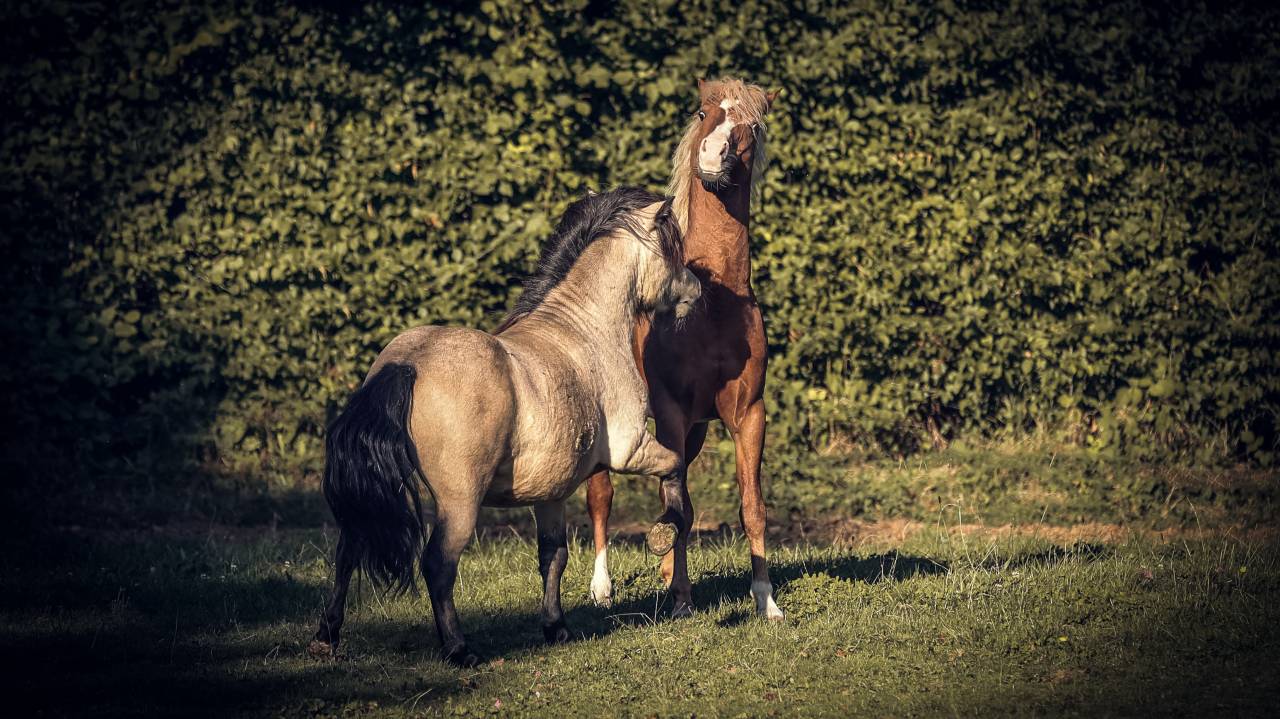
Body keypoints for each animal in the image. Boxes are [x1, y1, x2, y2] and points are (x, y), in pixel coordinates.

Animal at [308, 187, 701, 666]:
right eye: (670, 246)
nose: (696, 289)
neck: (584, 334)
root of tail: (406, 364)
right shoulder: (633, 449)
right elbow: (676, 469)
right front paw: (665, 532)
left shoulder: (551, 493)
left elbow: (554, 556)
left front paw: (556, 628)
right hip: (459, 503)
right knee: (437, 565)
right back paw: (459, 650)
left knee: (349, 550)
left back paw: (327, 635)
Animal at [584, 78, 784, 620]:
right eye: (701, 112)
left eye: (753, 123)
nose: (713, 156)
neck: (712, 304)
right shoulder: (672, 411)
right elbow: (679, 503)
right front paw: (680, 601)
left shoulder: (747, 413)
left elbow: (749, 506)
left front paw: (766, 601)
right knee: (601, 494)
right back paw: (601, 588)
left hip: (693, 431)